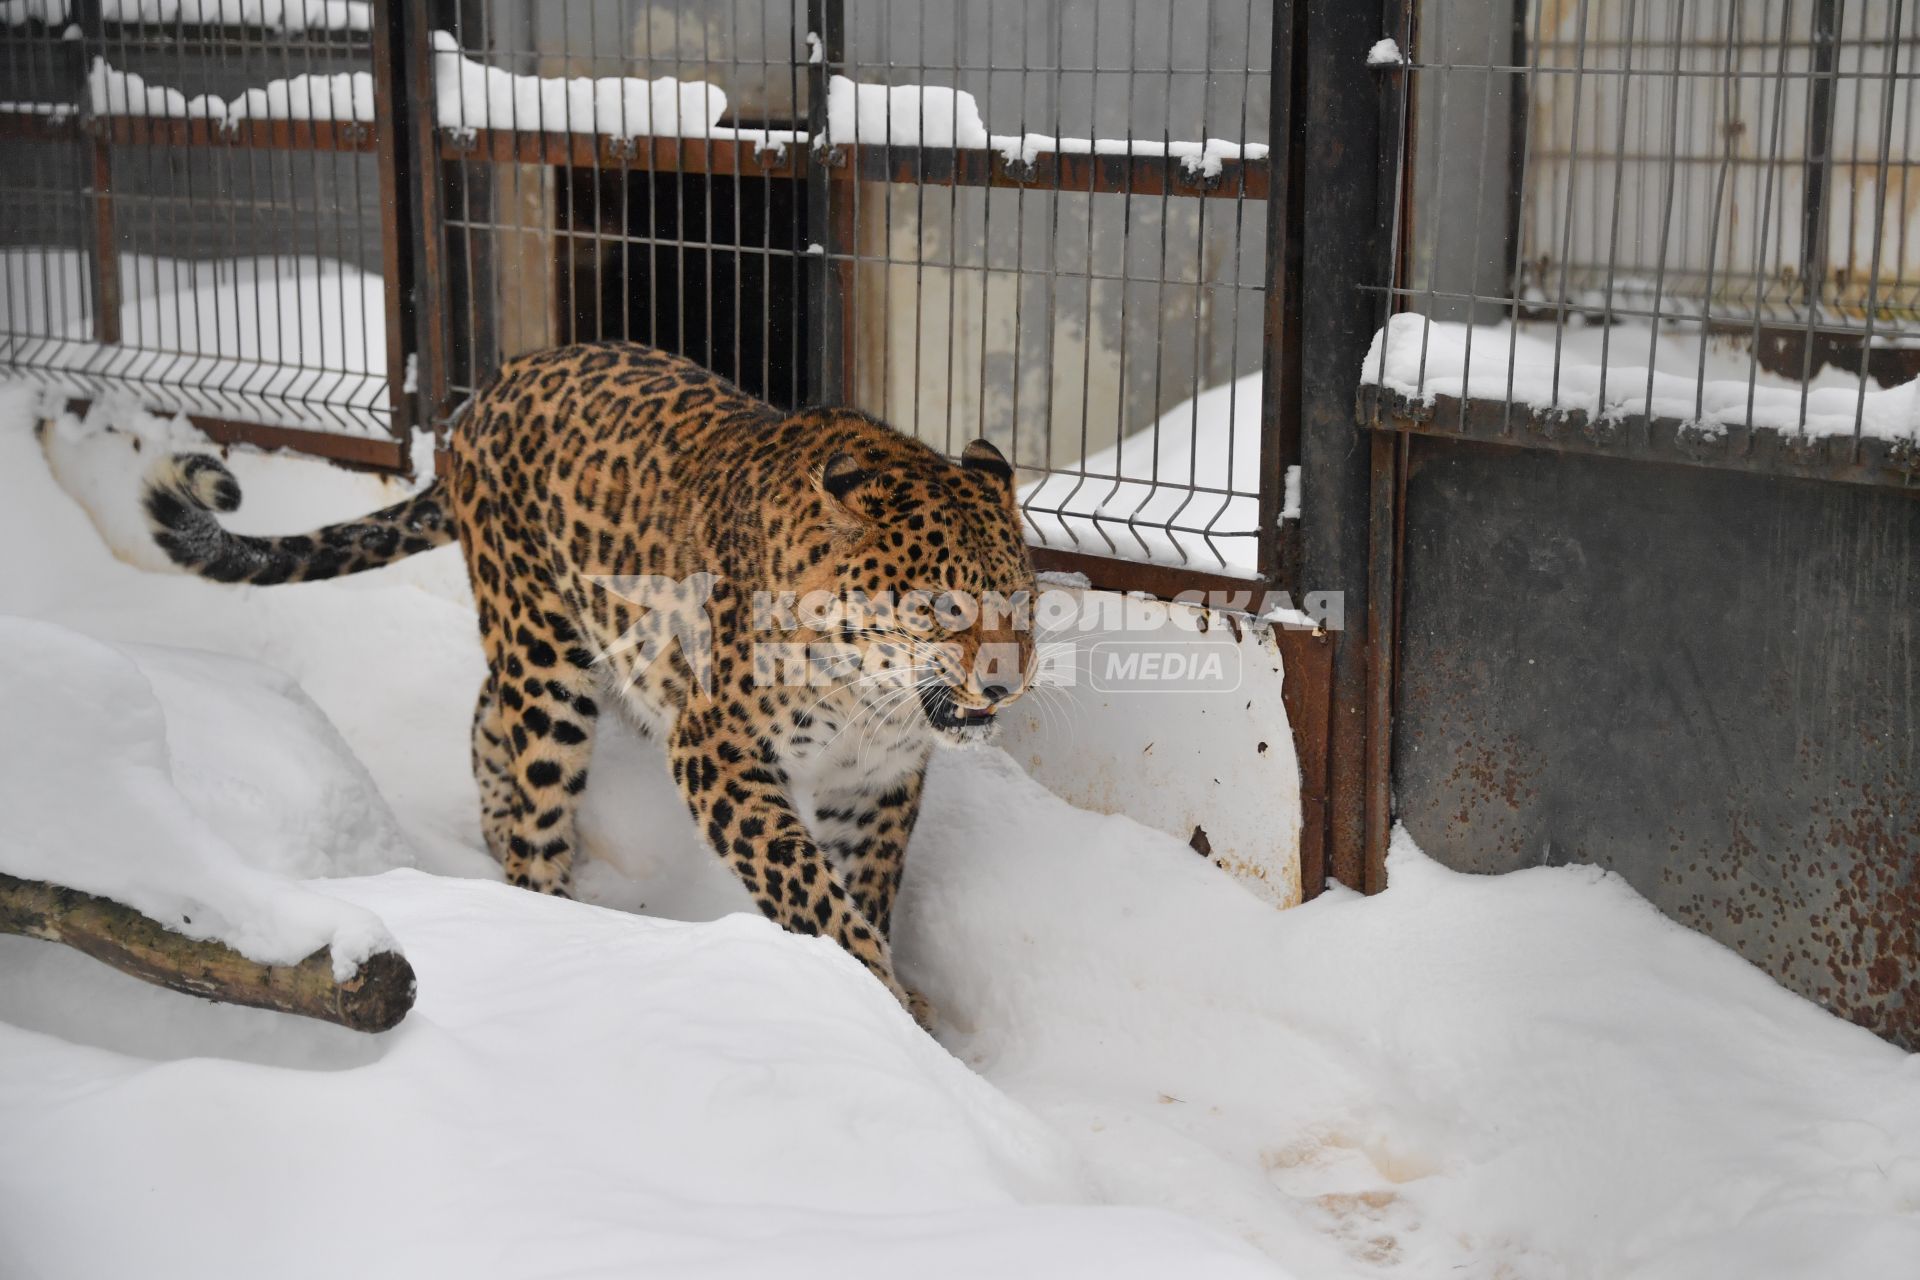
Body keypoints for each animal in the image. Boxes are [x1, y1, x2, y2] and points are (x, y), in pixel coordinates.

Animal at [139, 339, 1036, 1020]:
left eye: (1022, 596)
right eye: (943, 606)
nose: (1005, 686)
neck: (870, 697)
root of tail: (483, 399)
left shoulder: (879, 778)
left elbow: (867, 885)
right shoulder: (715, 749)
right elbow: (805, 883)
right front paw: (879, 1001)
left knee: (487, 711)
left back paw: (500, 834)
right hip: (543, 654)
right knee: (537, 791)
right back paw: (553, 916)